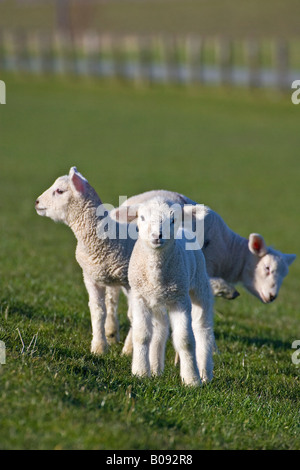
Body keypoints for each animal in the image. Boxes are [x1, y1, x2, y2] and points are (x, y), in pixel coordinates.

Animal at [126, 196, 213, 384]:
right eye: (141, 218)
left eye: (172, 220)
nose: (157, 236)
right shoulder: (139, 297)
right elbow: (141, 335)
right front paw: (140, 372)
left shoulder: (180, 299)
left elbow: (185, 340)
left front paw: (191, 379)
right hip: (157, 301)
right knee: (160, 329)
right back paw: (156, 369)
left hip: (200, 285)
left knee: (202, 328)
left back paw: (205, 373)